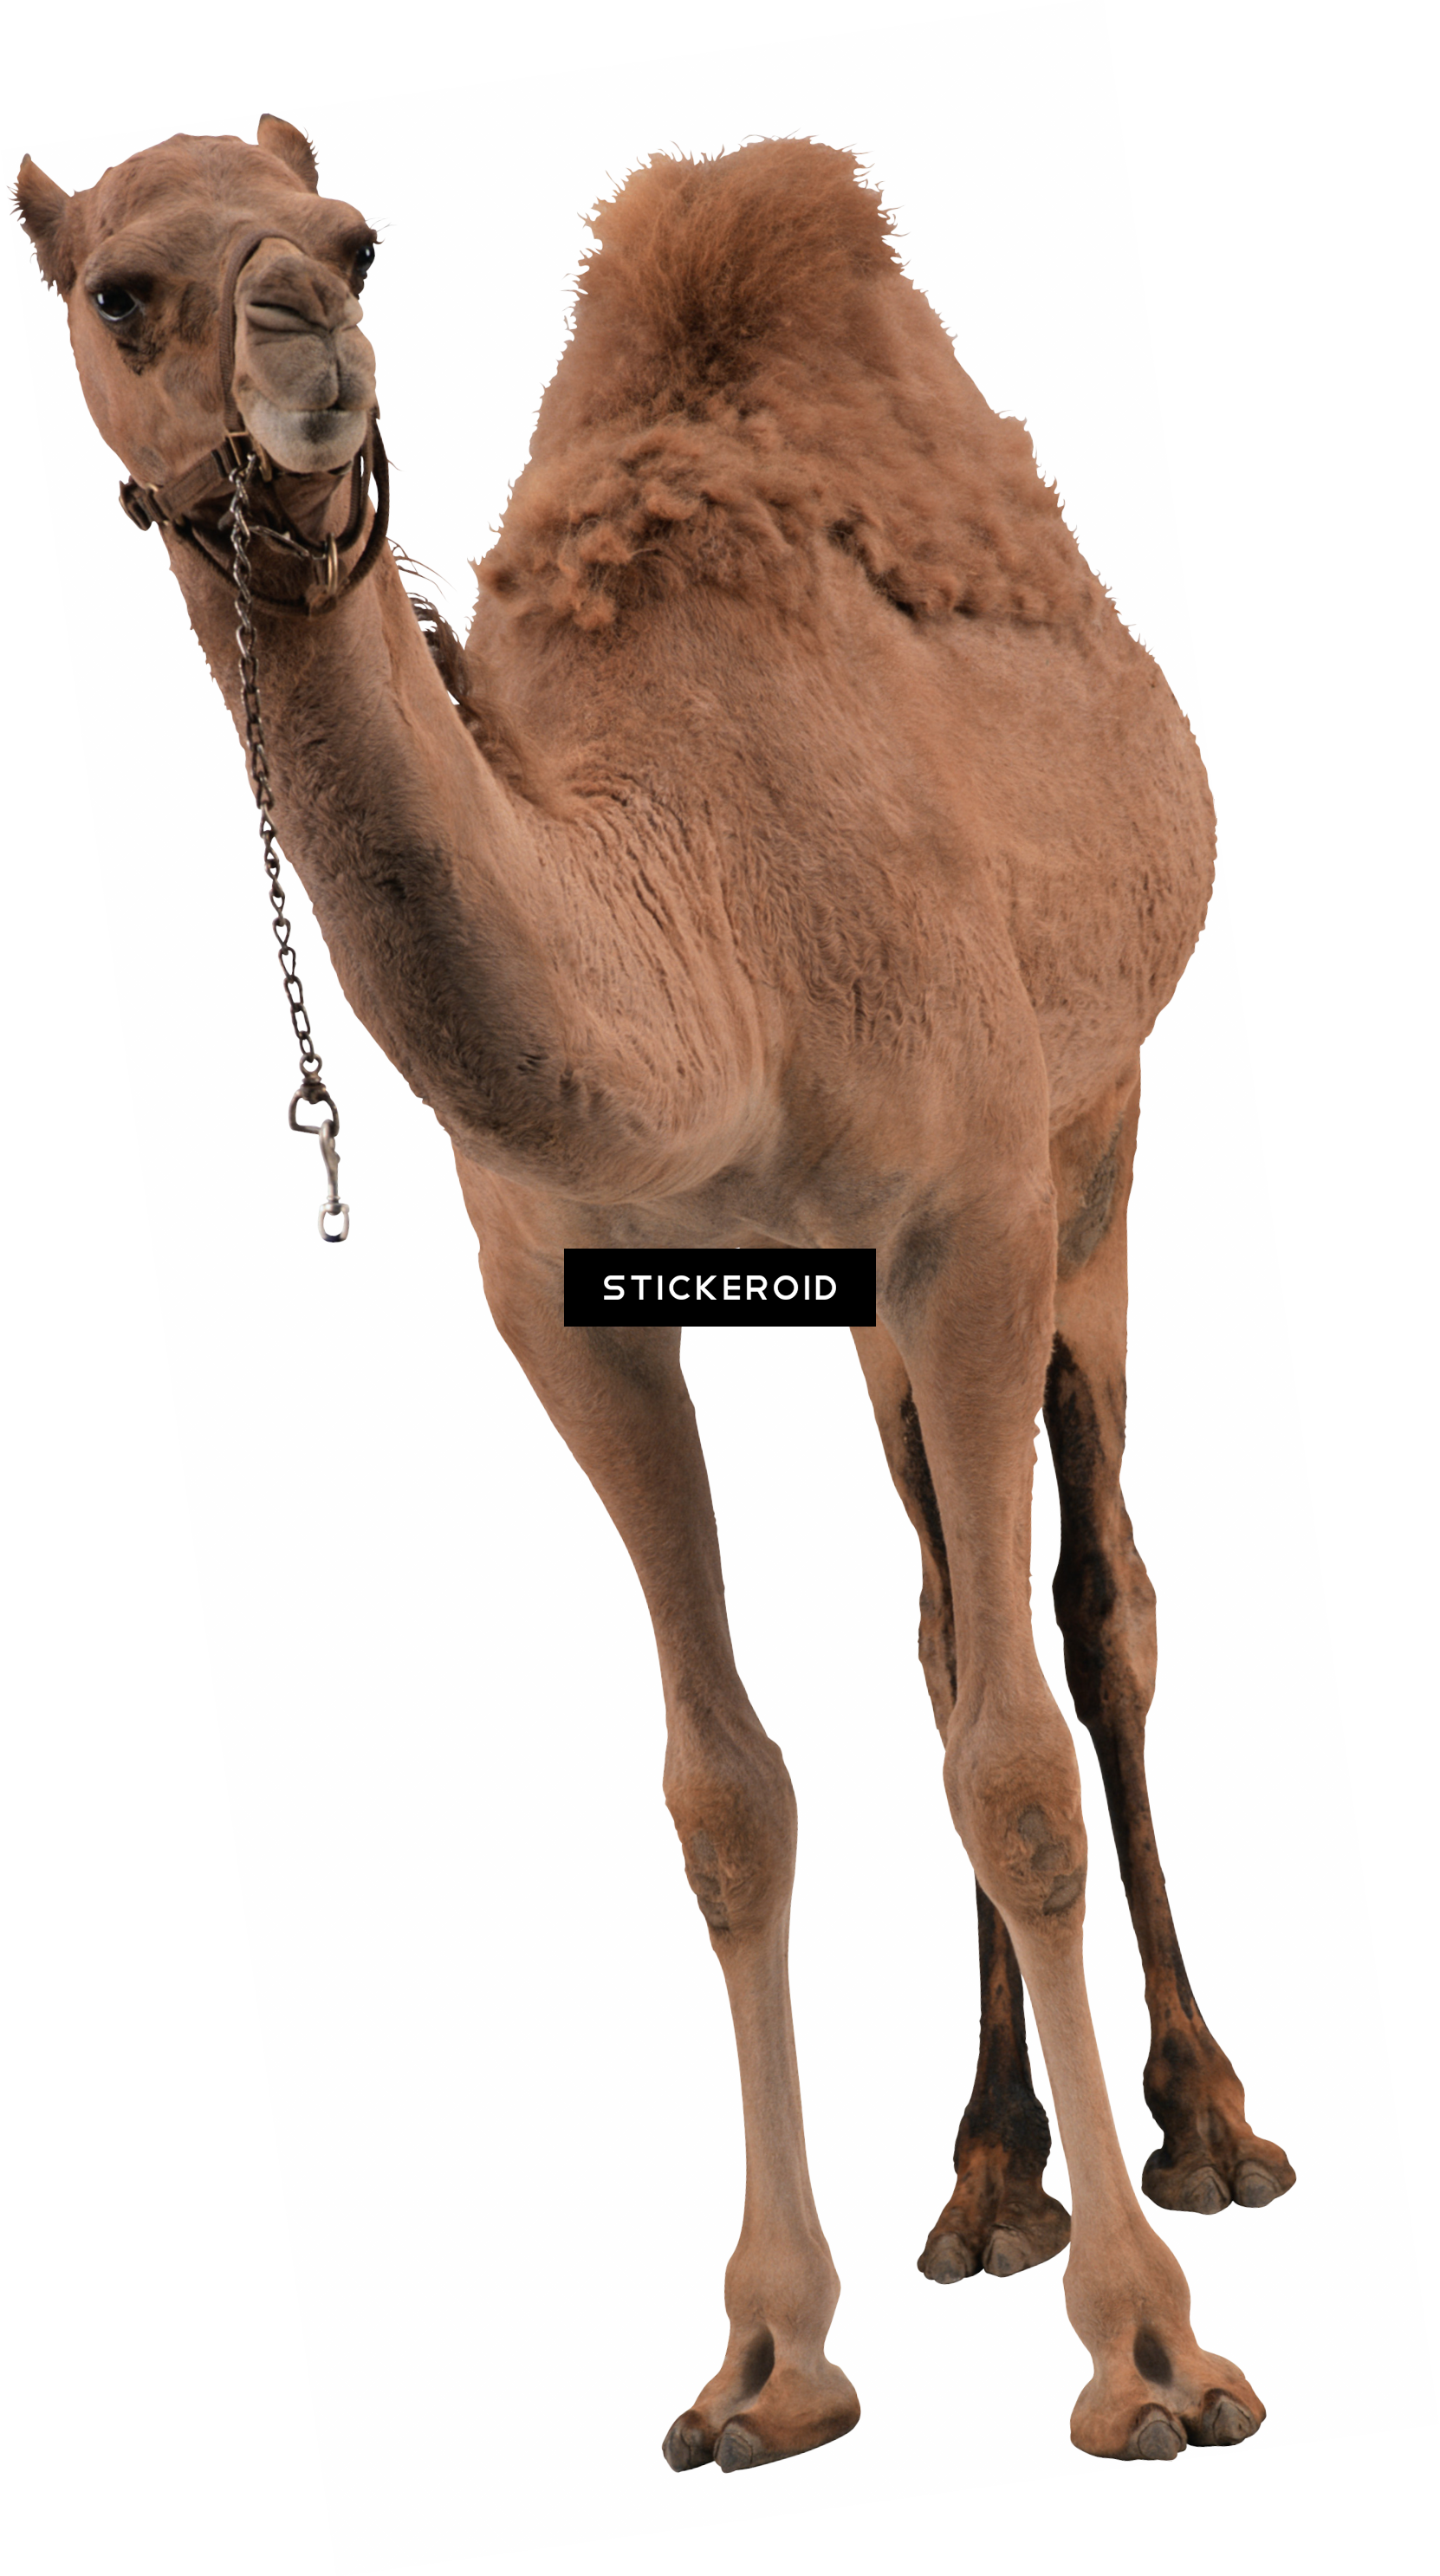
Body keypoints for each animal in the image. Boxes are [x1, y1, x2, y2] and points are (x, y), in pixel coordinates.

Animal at [15, 112, 1295, 2474]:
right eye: (118, 293)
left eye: (353, 241)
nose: (303, 344)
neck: (716, 913)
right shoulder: (563, 1290)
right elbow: (728, 1789)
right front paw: (768, 2359)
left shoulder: (976, 1199)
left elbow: (1018, 1759)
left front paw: (1154, 2352)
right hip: (877, 1285)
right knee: (937, 1613)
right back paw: (985, 2182)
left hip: (1099, 1124)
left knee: (1093, 1607)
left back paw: (1206, 2128)